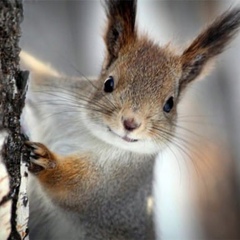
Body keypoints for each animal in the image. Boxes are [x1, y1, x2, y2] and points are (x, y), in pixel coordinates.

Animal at [23, 0, 240, 240]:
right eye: (108, 83)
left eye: (169, 104)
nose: (131, 123)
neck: (92, 135)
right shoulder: (59, 95)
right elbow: (36, 78)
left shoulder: (115, 186)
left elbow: (75, 188)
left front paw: (46, 160)